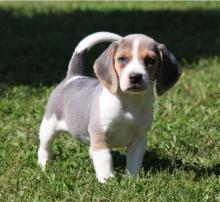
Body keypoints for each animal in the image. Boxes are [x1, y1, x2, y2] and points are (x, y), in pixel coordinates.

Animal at [37, 31, 181, 183]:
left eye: (150, 60)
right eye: (122, 59)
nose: (135, 76)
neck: (129, 102)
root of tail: (73, 76)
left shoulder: (139, 139)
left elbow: (134, 162)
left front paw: (133, 180)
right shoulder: (100, 133)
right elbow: (105, 159)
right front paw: (107, 181)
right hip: (48, 127)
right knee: (45, 148)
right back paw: (44, 165)